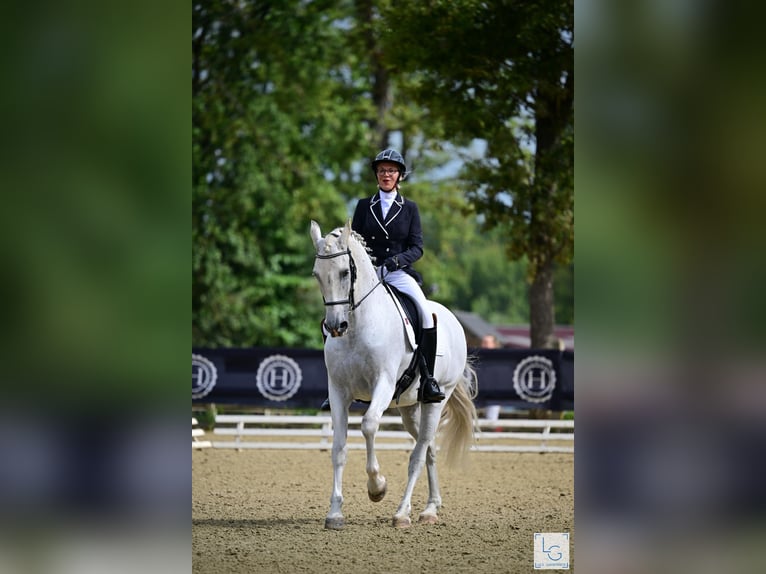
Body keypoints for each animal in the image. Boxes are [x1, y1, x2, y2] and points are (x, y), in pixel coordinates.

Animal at [308, 219, 476, 532]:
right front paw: (335, 513)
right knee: (429, 447)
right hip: (410, 407)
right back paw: (431, 507)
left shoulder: (382, 385)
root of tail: (453, 320)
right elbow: (338, 447)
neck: (357, 326)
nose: (336, 326)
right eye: (317, 275)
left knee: (419, 452)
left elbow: (369, 426)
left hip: (436, 400)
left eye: (345, 272)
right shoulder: (338, 392)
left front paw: (377, 488)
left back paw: (403, 513)